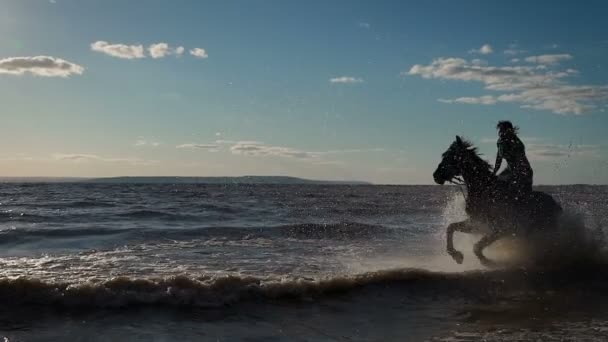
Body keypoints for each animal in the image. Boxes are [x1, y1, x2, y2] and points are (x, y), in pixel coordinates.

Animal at [430, 136, 564, 268]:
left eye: (449, 157)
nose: (435, 176)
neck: (485, 190)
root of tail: (555, 204)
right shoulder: (477, 224)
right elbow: (451, 228)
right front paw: (456, 256)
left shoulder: (501, 229)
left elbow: (477, 247)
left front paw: (488, 262)